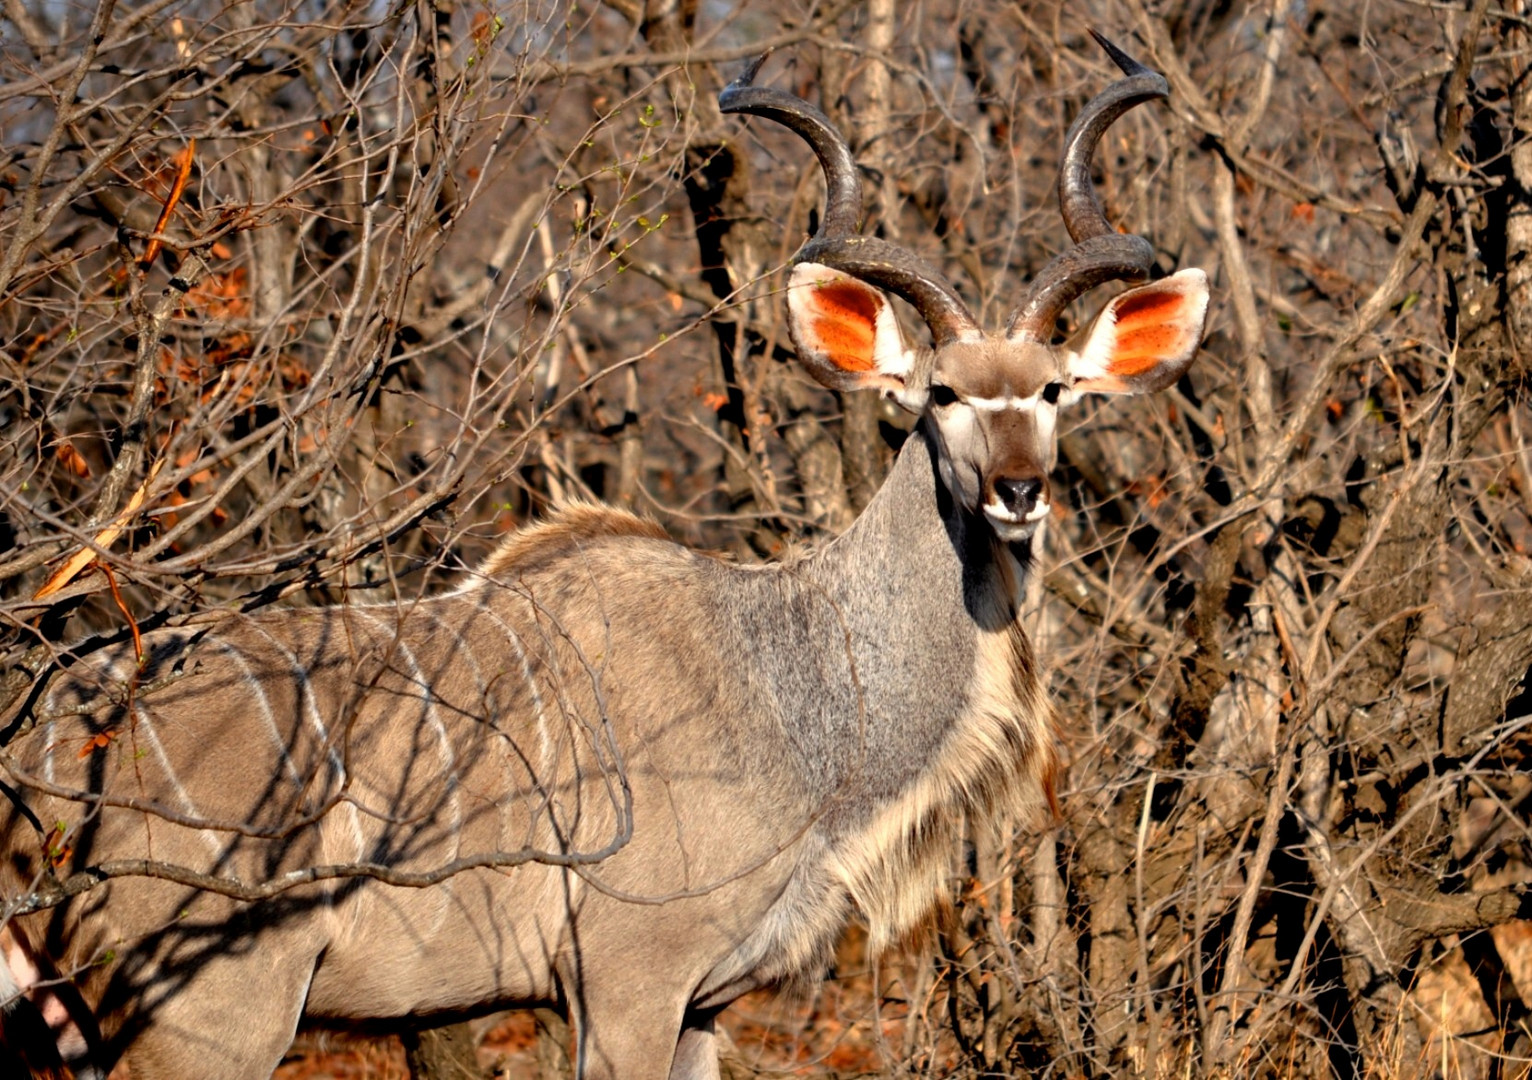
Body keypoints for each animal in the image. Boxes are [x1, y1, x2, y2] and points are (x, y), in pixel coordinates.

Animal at [0, 33, 1207, 1078]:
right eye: (943, 394)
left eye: (1055, 392)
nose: (1018, 490)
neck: (791, 677)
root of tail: (46, 743)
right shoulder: (626, 984)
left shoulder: (704, 1006)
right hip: (213, 1014)